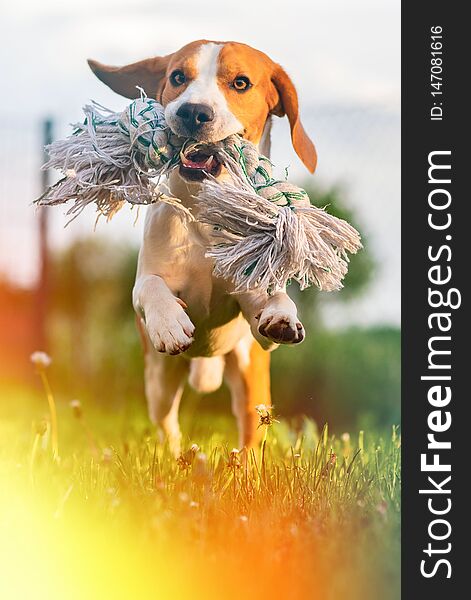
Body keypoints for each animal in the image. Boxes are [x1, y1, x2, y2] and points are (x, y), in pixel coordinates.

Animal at [88, 39, 318, 452]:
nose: (193, 112)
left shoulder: (253, 298)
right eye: (178, 76)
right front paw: (168, 322)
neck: (205, 211)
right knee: (168, 426)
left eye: (241, 83)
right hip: (159, 383)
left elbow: (272, 297)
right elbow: (149, 287)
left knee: (251, 431)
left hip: (251, 377)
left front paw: (283, 315)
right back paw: (181, 456)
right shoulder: (146, 280)